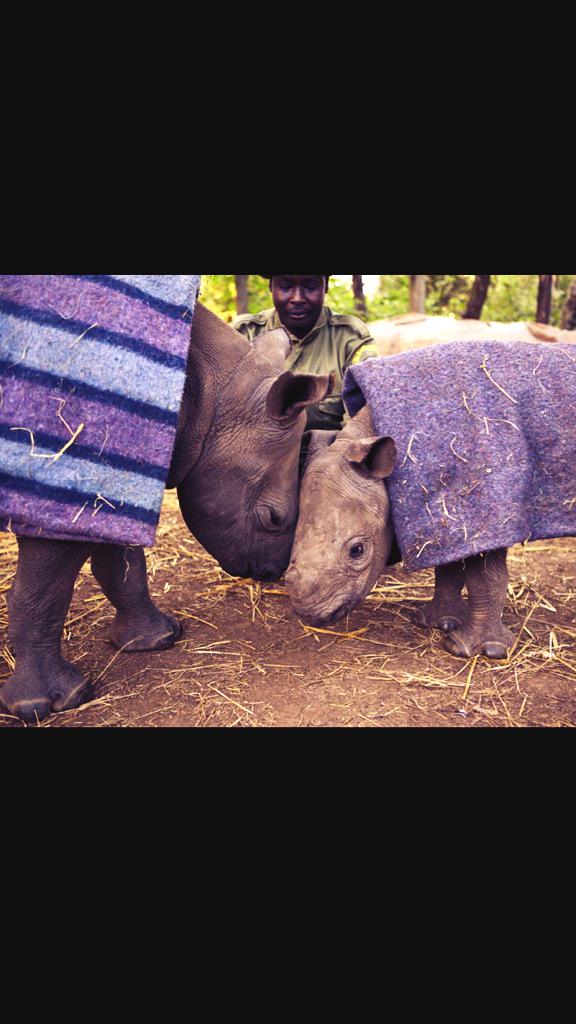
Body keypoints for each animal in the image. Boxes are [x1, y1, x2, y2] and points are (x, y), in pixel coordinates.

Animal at [1, 301, 331, 721]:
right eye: (273, 520)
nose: (273, 572)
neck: (213, 395)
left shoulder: (121, 465)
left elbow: (123, 564)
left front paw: (157, 639)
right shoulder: (66, 469)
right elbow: (47, 584)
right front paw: (50, 704)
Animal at [286, 340, 576, 660]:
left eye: (357, 551)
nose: (309, 612)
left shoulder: (484, 508)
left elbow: (484, 578)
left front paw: (472, 649)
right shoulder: (442, 511)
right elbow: (447, 568)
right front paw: (434, 622)